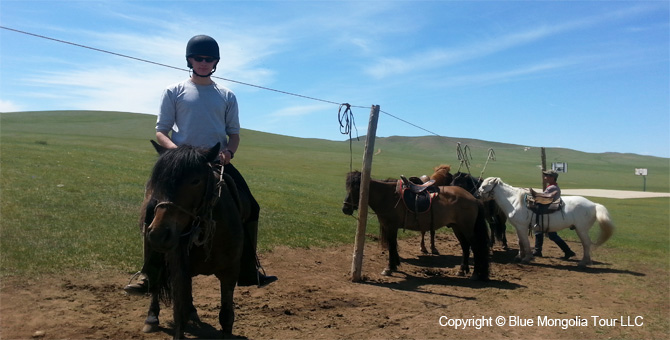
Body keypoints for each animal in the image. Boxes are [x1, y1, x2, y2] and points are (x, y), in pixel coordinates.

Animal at [141, 140, 244, 338]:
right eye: (157, 180)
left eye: (195, 181)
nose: (158, 235)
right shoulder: (179, 270)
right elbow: (179, 317)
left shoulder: (230, 273)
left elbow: (227, 316)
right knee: (156, 282)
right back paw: (152, 318)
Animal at [344, 171, 490, 280]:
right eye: (347, 188)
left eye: (357, 189)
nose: (345, 209)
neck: (387, 196)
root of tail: (473, 199)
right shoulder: (390, 227)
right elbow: (393, 245)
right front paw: (395, 265)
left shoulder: (391, 226)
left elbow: (391, 246)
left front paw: (389, 268)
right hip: (457, 228)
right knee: (465, 247)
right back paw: (461, 270)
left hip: (467, 229)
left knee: (475, 247)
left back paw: (475, 274)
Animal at [478, 177, 616, 266]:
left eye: (484, 186)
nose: (477, 194)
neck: (514, 201)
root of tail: (594, 205)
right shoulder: (518, 227)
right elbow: (520, 242)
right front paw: (519, 256)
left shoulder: (522, 227)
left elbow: (525, 243)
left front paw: (527, 258)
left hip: (581, 229)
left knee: (586, 244)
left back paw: (584, 262)